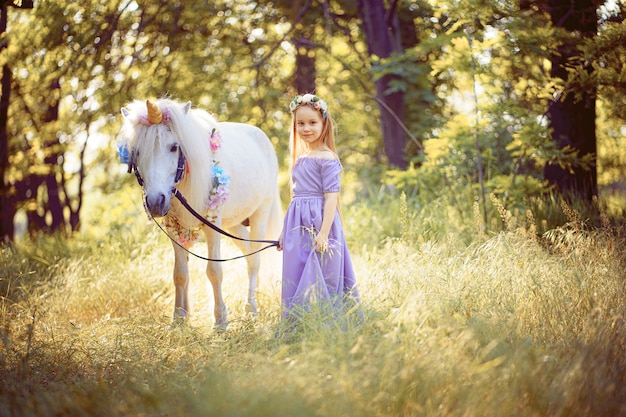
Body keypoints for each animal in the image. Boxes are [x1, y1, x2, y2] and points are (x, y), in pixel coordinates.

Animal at [119, 98, 280, 328]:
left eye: (174, 147)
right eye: (137, 151)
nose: (155, 202)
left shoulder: (213, 226)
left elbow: (214, 272)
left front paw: (220, 321)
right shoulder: (174, 229)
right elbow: (180, 273)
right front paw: (179, 319)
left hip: (260, 213)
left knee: (255, 260)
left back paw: (251, 309)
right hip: (234, 225)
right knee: (250, 253)